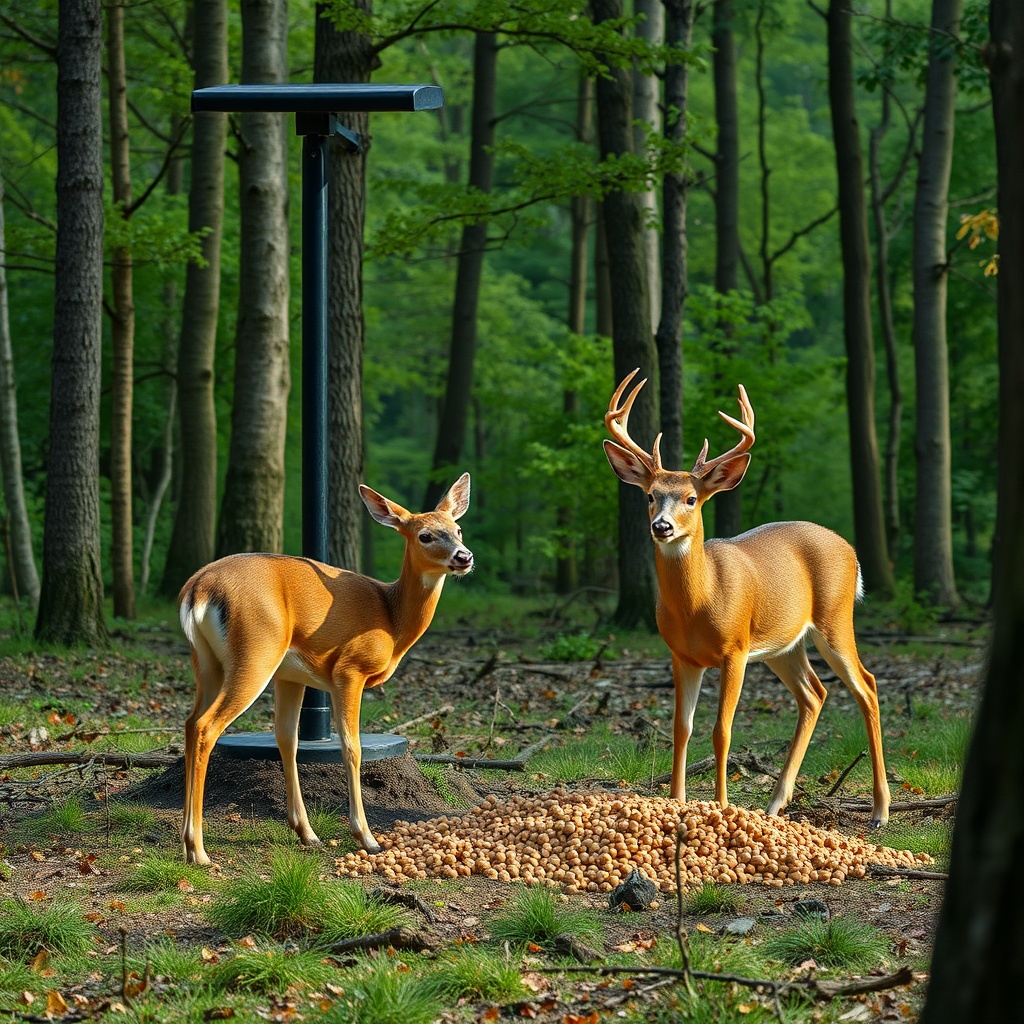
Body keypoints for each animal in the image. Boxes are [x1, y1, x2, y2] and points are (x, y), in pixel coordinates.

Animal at [178, 474, 473, 865]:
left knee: (190, 722)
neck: (391, 620)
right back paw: (198, 850)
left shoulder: (291, 675)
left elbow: (288, 739)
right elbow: (352, 747)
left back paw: (187, 841)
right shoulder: (349, 670)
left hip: (207, 661)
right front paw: (366, 836)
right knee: (207, 726)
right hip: (256, 651)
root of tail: (197, 587)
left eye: (458, 529)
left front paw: (306, 831)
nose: (464, 556)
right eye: (425, 535)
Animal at [603, 371, 890, 828]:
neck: (698, 605)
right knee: (814, 694)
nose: (661, 526)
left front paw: (721, 805)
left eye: (691, 499)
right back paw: (775, 805)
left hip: (834, 617)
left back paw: (880, 810)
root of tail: (851, 551)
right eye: (649, 495)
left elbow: (722, 730)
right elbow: (681, 728)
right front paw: (676, 802)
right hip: (783, 644)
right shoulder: (680, 655)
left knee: (867, 685)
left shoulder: (734, 649)